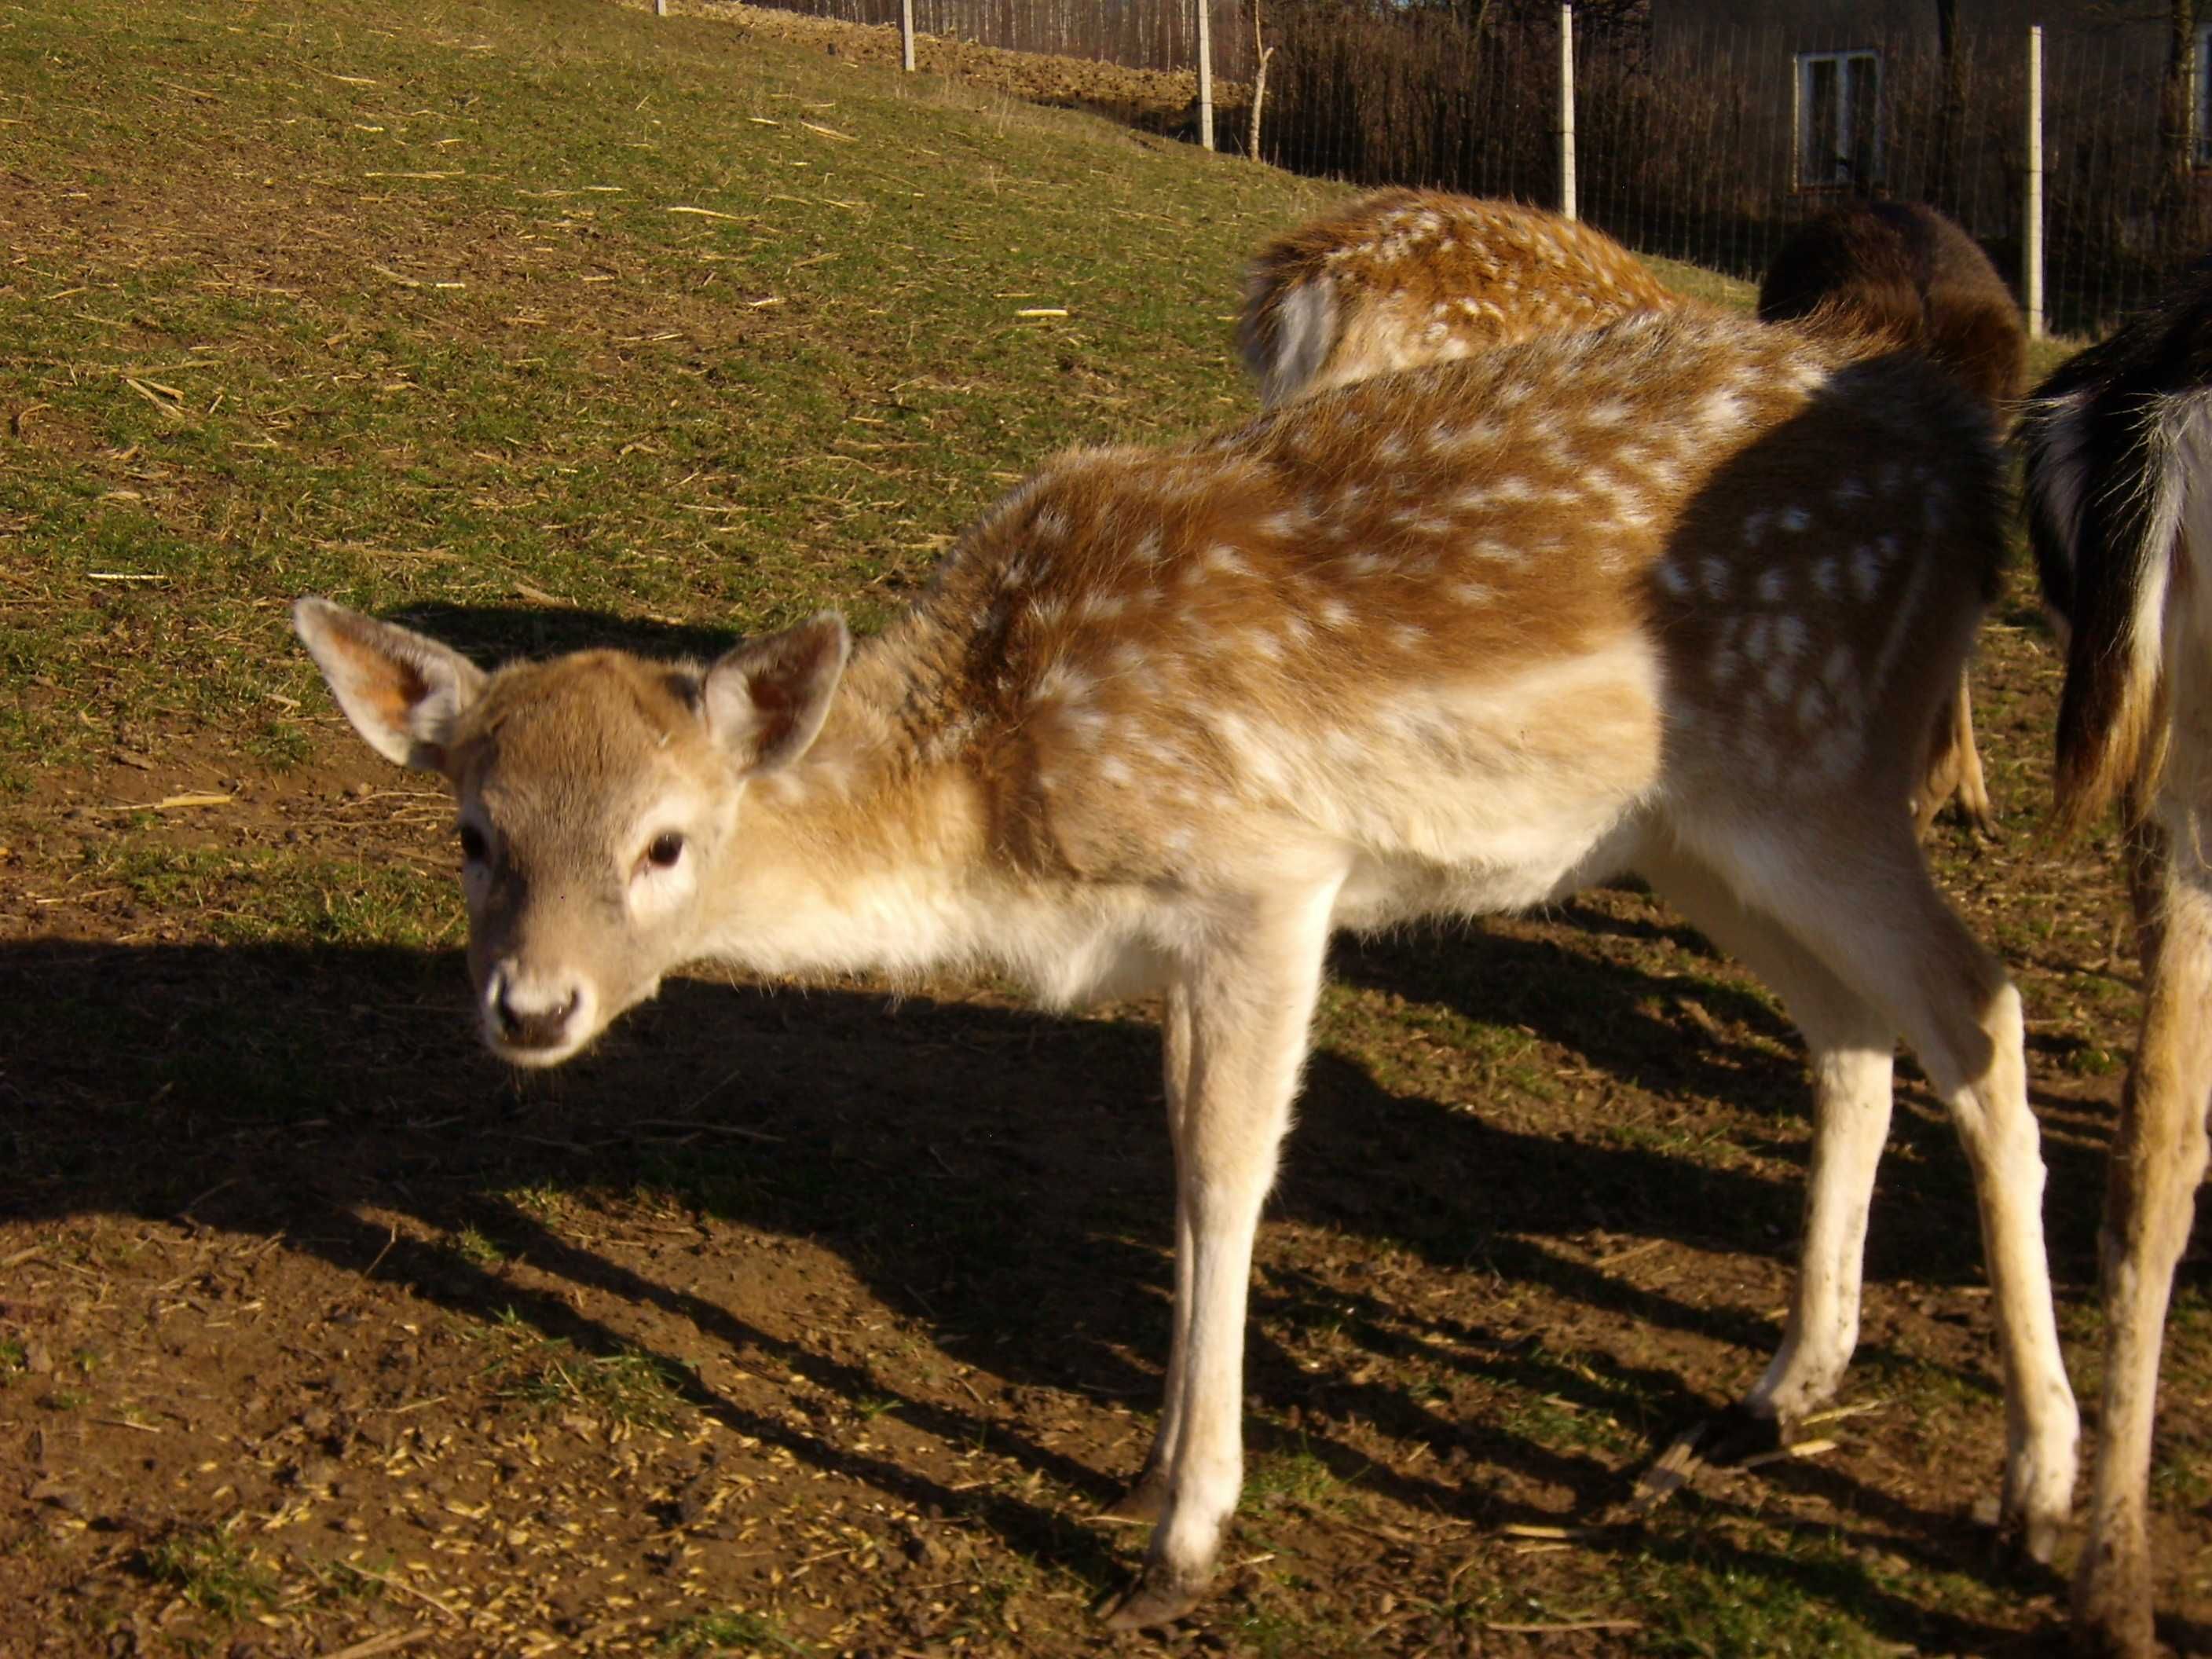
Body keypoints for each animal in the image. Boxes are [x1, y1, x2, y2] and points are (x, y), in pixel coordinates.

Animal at [302, 312, 2079, 1636]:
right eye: (472, 830)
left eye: (666, 842)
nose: (530, 1008)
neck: (999, 819)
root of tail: (1970, 469)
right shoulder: (1169, 934)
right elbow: (1170, 1164)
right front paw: (1145, 1476)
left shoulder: (1269, 876)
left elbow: (1223, 1179)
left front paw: (1179, 1541)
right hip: (1697, 831)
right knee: (1852, 1033)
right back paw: (1775, 1392)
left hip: (1817, 769)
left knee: (1978, 1010)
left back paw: (2038, 1487)